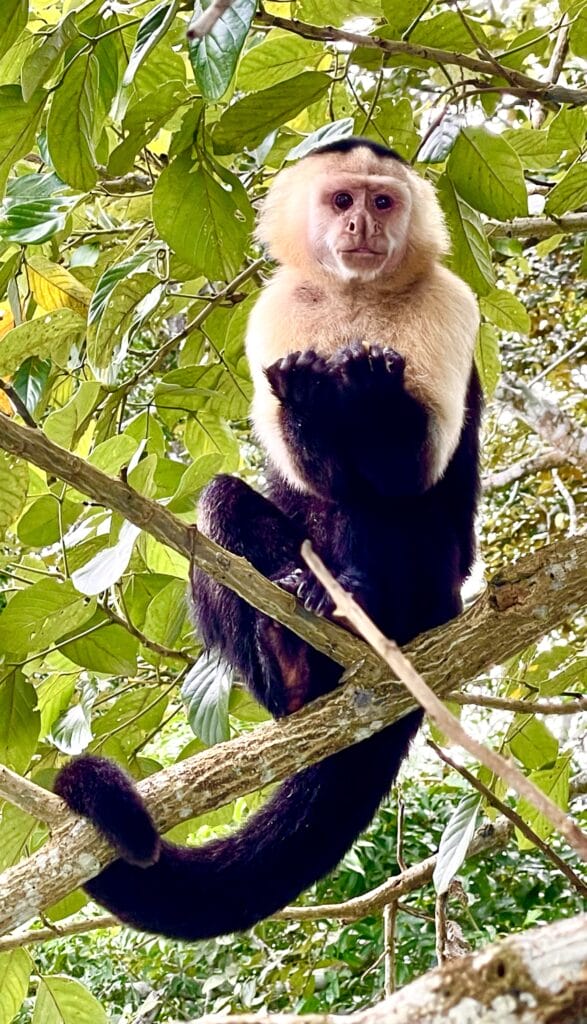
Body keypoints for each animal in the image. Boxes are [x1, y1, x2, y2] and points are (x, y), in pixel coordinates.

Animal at [55, 137, 482, 942]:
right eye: (342, 200)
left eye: (383, 201)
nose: (362, 227)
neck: (354, 300)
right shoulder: (277, 311)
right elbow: (299, 468)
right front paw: (315, 398)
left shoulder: (450, 302)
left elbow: (407, 472)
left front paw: (365, 390)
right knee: (222, 508)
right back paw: (292, 662)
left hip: (439, 580)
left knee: (384, 508)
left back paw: (362, 606)